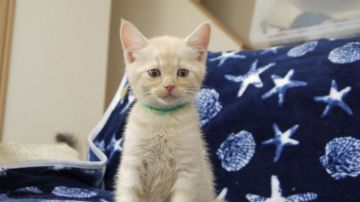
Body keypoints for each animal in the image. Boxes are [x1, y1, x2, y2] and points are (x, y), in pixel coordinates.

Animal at [115, 19, 221, 202]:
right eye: (154, 72)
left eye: (183, 73)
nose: (169, 85)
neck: (163, 118)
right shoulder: (132, 165)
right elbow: (128, 195)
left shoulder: (188, 171)